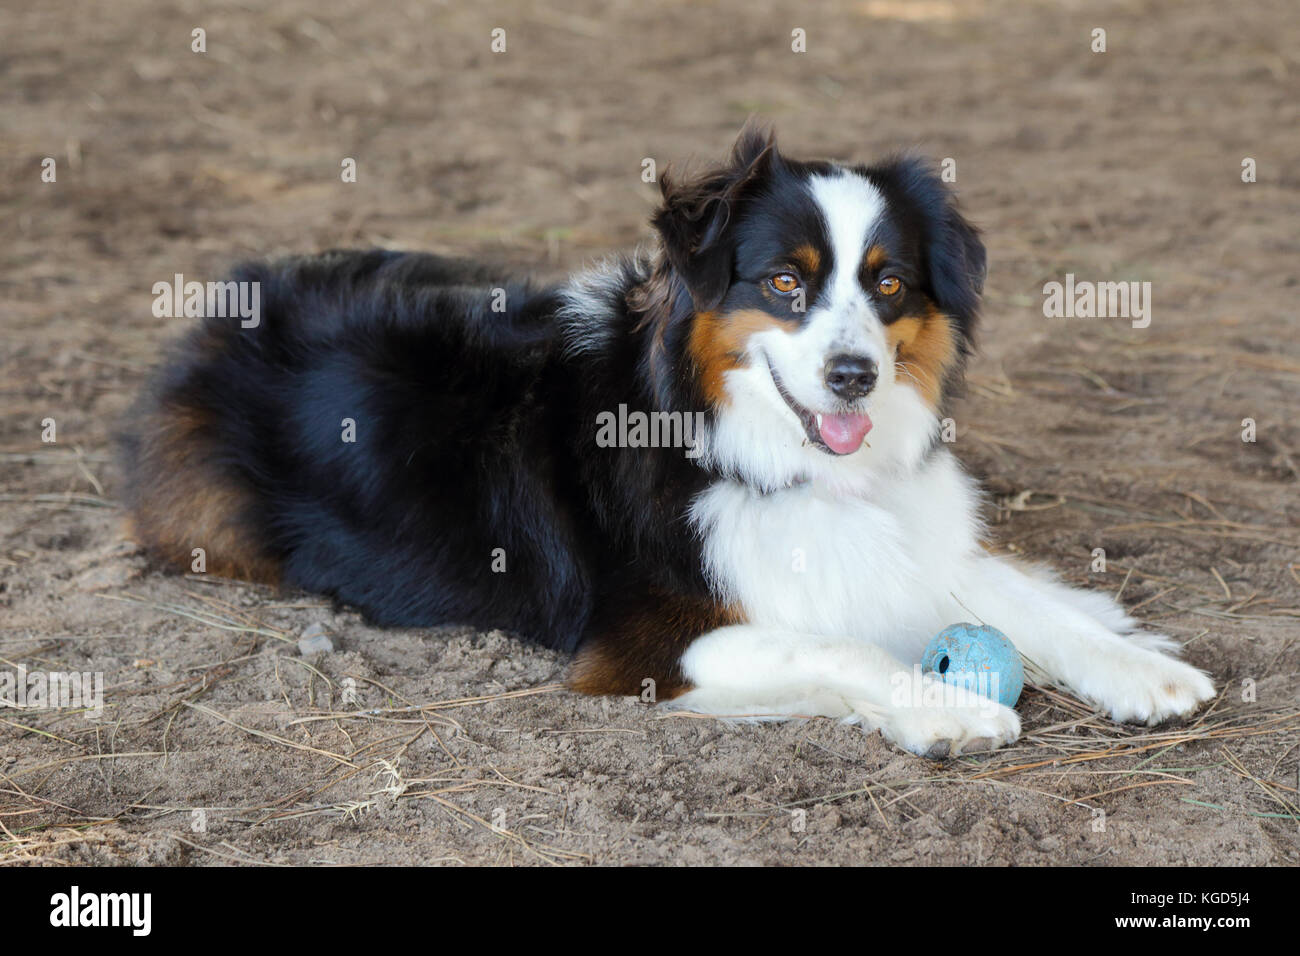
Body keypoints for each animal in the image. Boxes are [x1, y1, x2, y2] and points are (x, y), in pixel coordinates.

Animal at [116, 125, 1211, 754]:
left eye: (889, 282)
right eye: (784, 280)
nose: (853, 374)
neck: (751, 444)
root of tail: (230, 301)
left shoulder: (906, 536)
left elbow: (1019, 595)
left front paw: (1140, 667)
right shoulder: (644, 642)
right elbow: (840, 643)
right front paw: (950, 710)